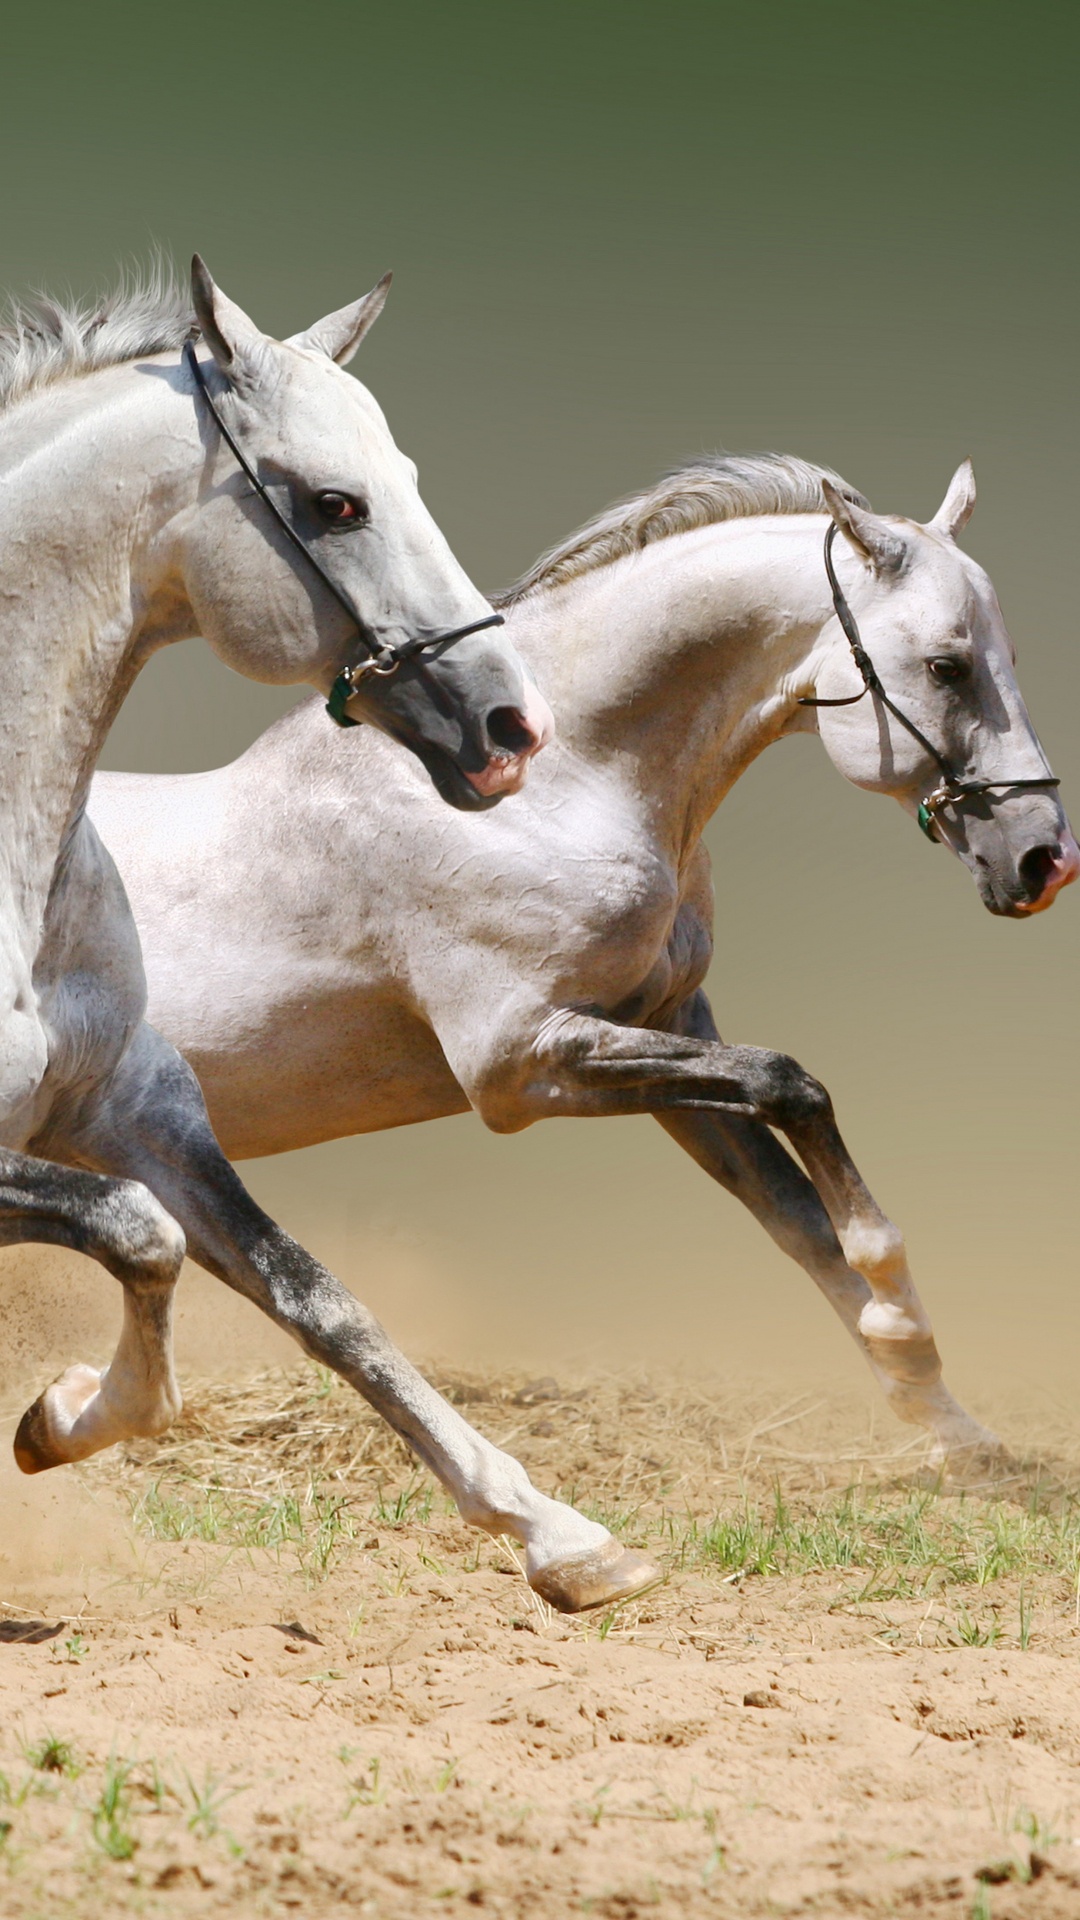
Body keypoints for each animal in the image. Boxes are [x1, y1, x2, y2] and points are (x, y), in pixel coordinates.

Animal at [0, 260, 651, 1621]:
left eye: (404, 475)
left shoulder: (134, 1106)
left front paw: (563, 1538)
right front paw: (74, 1412)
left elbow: (314, 1296)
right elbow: (139, 1236)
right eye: (334, 504)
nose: (513, 727)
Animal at [91, 452, 1078, 1590]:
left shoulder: (667, 1033)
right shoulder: (524, 1066)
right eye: (949, 666)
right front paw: (896, 1303)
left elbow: (794, 1212)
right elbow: (796, 1087)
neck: (558, 788)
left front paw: (951, 1426)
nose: (1044, 860)